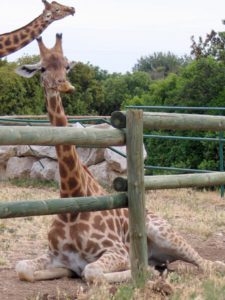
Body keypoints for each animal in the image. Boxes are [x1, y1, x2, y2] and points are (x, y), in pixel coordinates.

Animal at [14, 34, 225, 284]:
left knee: (209, 264)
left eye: (67, 66)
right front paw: (63, 272)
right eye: (43, 68)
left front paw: (144, 272)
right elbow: (23, 268)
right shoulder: (54, 254)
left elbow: (92, 272)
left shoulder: (117, 250)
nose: (64, 85)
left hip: (163, 232)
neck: (72, 196)